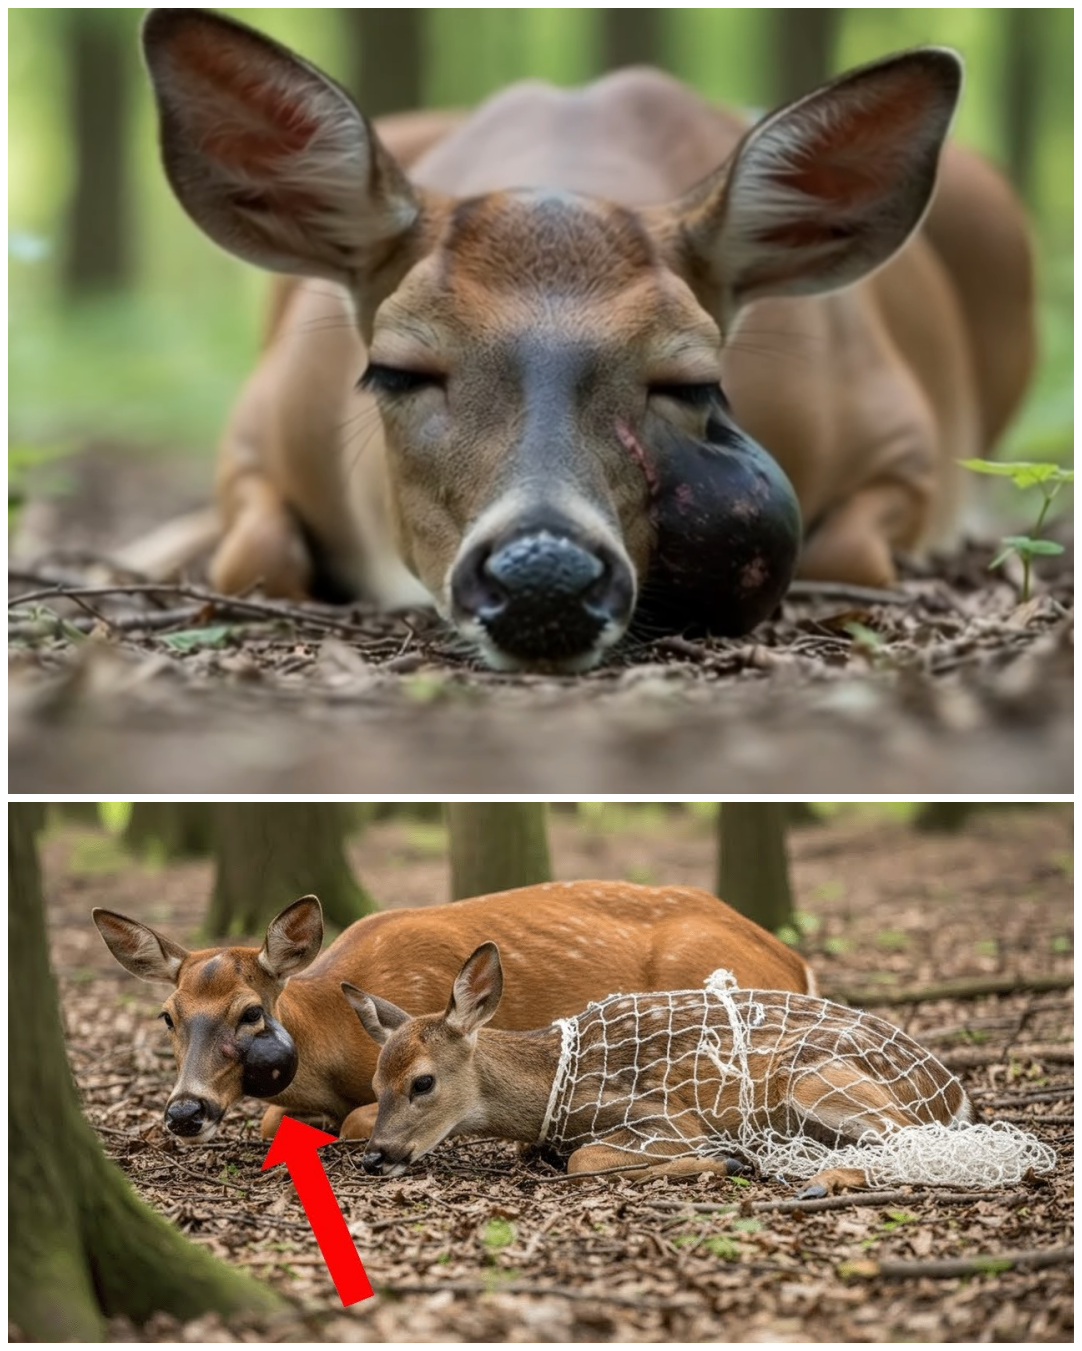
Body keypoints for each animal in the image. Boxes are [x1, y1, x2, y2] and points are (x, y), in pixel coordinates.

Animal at [92, 880, 815, 1145]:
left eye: (249, 1012)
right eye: (168, 1015)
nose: (184, 1112)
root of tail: (794, 960)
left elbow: (351, 1120)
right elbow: (276, 1119)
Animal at [134, 9, 1034, 672]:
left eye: (693, 379)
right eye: (394, 368)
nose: (546, 576)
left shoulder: (904, 434)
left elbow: (846, 554)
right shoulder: (258, 424)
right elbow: (251, 555)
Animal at [344, 943, 1054, 1197]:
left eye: (423, 1082)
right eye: (375, 1083)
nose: (376, 1154)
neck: (549, 1087)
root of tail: (955, 1093)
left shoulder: (663, 1116)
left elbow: (586, 1158)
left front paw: (721, 1159)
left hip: (817, 1076)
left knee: (918, 1143)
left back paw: (809, 1178)